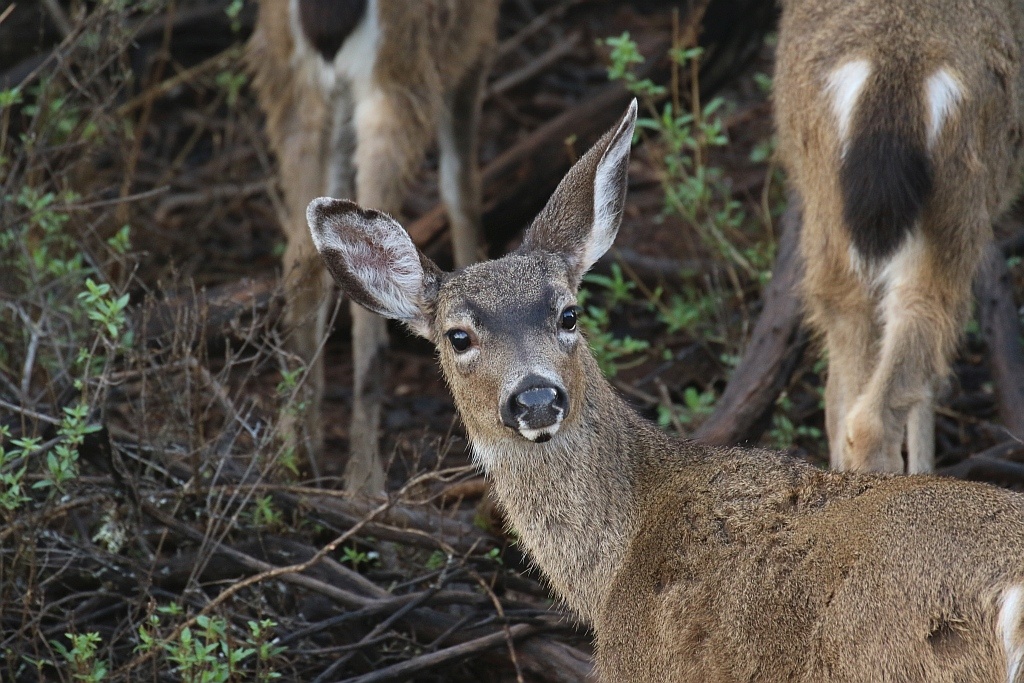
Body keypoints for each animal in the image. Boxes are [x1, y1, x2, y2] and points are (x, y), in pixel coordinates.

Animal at [249, 0, 501, 491]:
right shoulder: (475, 44)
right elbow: (460, 185)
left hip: (285, 78)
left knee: (303, 256)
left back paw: (295, 451)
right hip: (398, 76)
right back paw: (364, 479)